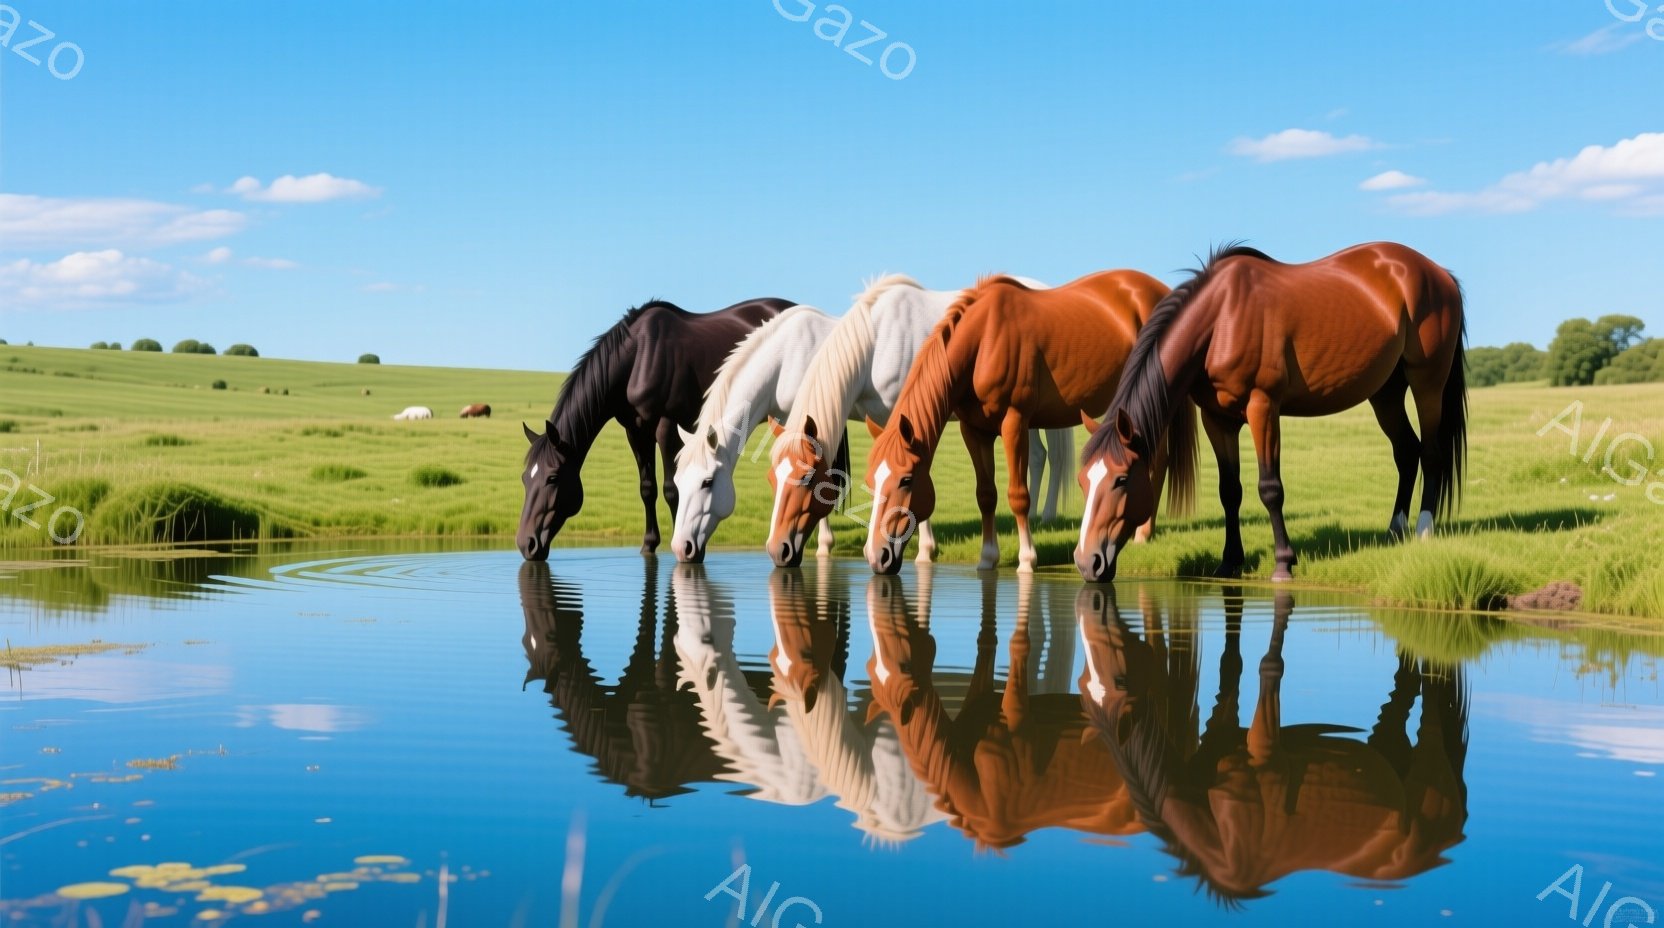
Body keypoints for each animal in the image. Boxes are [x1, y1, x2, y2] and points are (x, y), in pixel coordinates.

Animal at [517, 297, 788, 561]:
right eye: (525, 478)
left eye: (552, 478)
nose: (525, 544)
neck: (639, 358)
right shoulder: (636, 432)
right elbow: (647, 488)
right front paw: (649, 543)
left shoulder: (667, 428)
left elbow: (672, 489)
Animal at [763, 275, 1077, 568]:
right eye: (772, 478)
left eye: (805, 478)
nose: (777, 549)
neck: (877, 341)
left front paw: (925, 550)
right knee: (1039, 456)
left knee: (1049, 456)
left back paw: (1045, 517)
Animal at [863, 270, 1195, 574]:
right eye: (871, 481)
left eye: (906, 479)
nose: (875, 555)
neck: (984, 340)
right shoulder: (974, 430)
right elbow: (986, 495)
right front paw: (988, 557)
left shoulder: (1015, 423)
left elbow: (1018, 495)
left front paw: (1026, 559)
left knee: (1157, 461)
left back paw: (1143, 533)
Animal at [1074, 242, 1466, 582]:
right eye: (1082, 481)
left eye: (1121, 479)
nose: (1087, 561)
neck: (1221, 320)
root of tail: (1440, 274)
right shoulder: (1217, 419)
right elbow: (1229, 491)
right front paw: (1229, 562)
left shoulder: (1263, 407)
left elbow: (1270, 488)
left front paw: (1283, 563)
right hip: (1386, 392)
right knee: (1407, 451)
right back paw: (1394, 530)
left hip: (1427, 381)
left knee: (1431, 453)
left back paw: (1424, 531)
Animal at [1076, 585, 1469, 900]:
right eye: (1082, 683)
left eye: (1119, 679)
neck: (1219, 835)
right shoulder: (1222, 725)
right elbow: (1230, 666)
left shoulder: (1264, 743)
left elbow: (1268, 667)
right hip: (1389, 748)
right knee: (1405, 687)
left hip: (1430, 751)